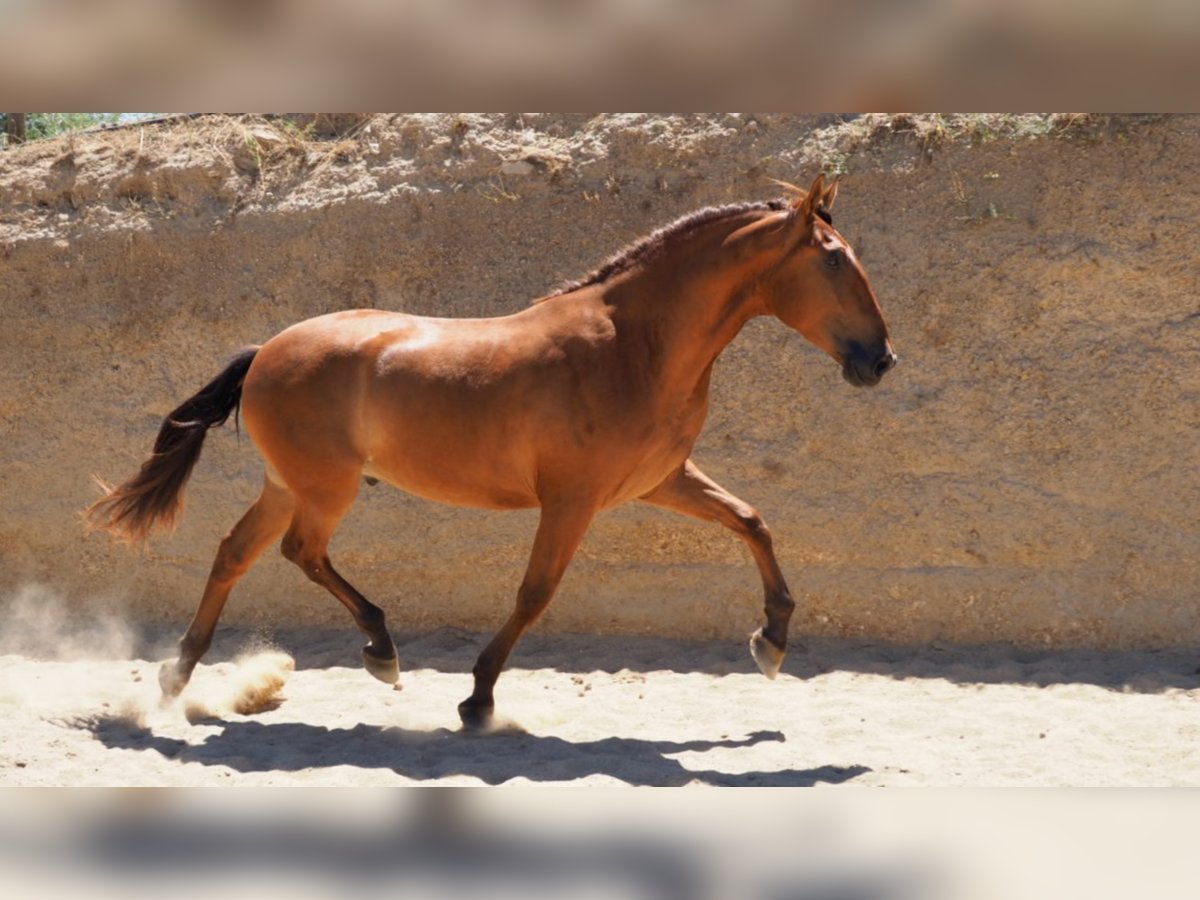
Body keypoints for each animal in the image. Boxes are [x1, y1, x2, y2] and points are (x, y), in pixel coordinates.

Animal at [87, 172, 892, 729]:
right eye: (832, 261)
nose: (880, 360)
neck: (634, 345)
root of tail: (265, 352)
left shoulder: (660, 481)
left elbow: (752, 520)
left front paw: (773, 639)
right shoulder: (571, 500)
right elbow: (535, 593)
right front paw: (477, 698)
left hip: (288, 483)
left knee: (234, 552)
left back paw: (178, 677)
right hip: (324, 488)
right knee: (299, 553)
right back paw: (380, 652)